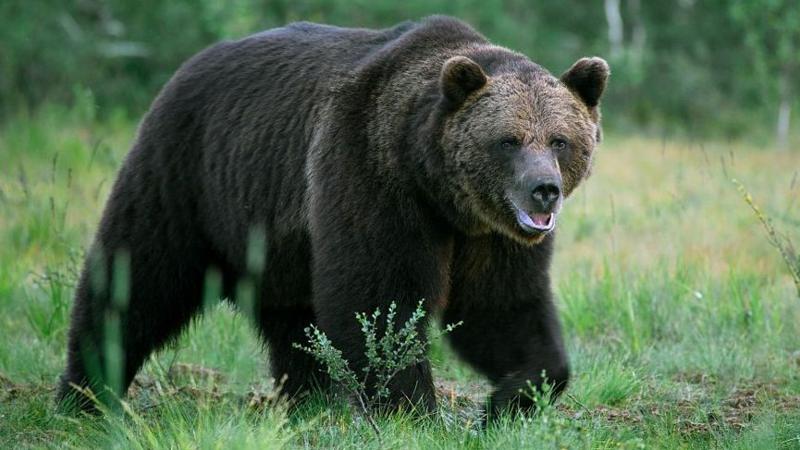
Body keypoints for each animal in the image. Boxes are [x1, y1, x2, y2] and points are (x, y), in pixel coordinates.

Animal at [57, 16, 608, 420]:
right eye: (508, 140)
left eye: (559, 140)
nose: (544, 191)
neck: (438, 189)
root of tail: (191, 63)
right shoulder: (371, 175)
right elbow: (377, 300)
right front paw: (410, 409)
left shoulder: (490, 236)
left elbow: (502, 307)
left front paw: (510, 399)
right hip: (185, 173)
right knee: (137, 276)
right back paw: (85, 392)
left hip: (274, 234)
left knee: (292, 320)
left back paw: (311, 401)